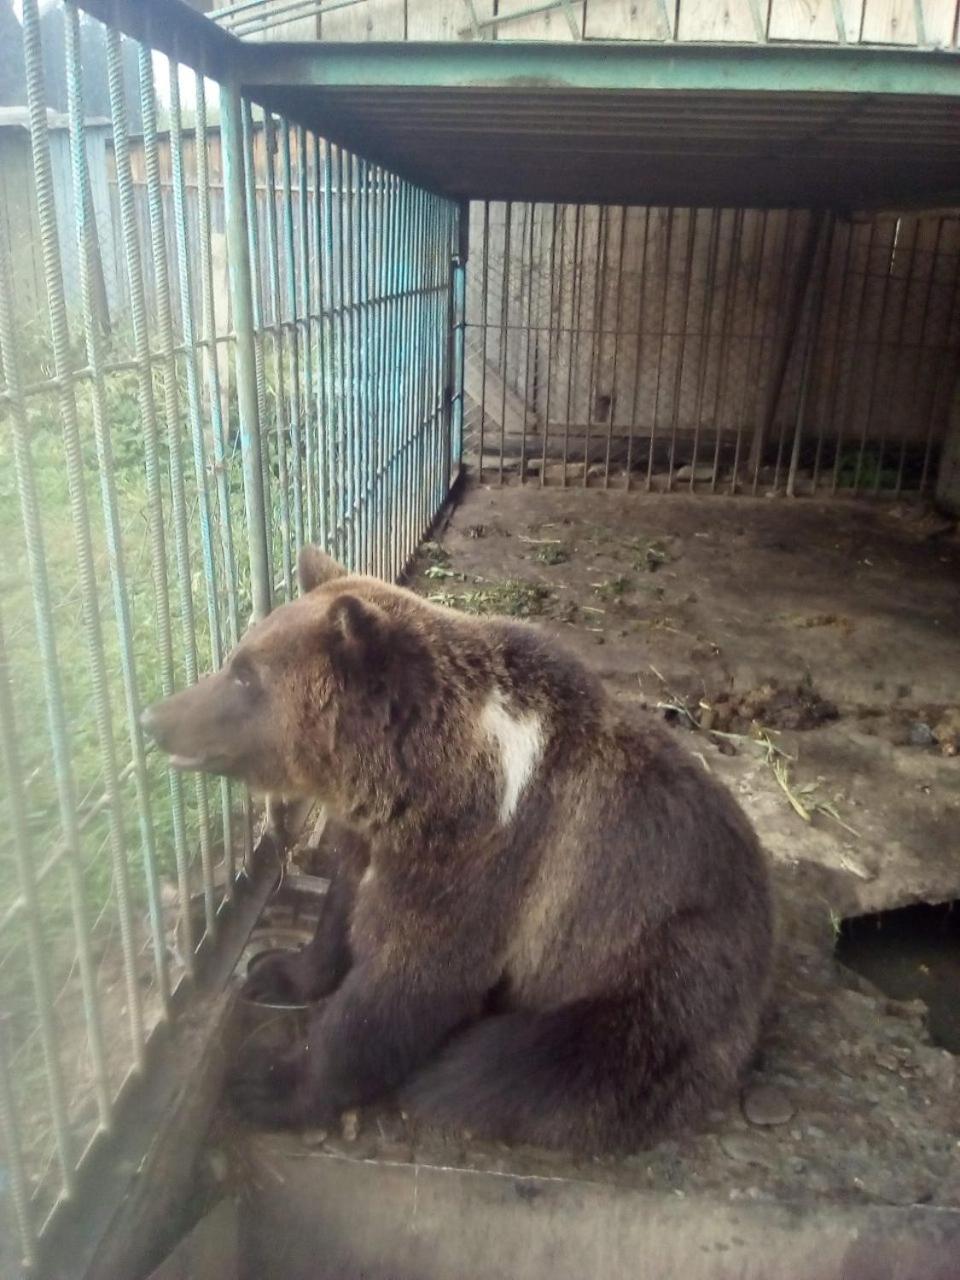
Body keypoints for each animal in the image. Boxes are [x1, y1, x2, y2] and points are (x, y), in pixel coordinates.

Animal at [140, 545, 773, 1157]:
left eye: (246, 676)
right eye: (237, 658)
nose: (153, 718)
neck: (423, 782)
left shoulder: (484, 863)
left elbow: (403, 986)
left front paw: (268, 1083)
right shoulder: (380, 840)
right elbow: (341, 908)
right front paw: (275, 970)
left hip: (661, 955)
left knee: (545, 1061)